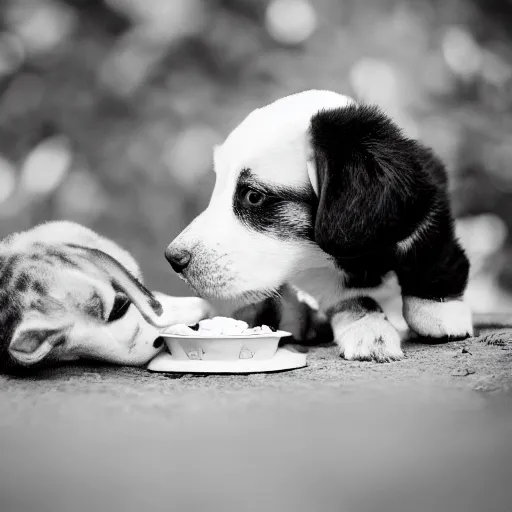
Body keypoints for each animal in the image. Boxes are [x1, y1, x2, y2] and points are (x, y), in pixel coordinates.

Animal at [166, 91, 474, 364]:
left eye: (253, 196)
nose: (174, 259)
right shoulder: (322, 279)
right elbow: (354, 300)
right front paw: (368, 331)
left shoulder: (424, 204)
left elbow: (434, 254)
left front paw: (438, 311)